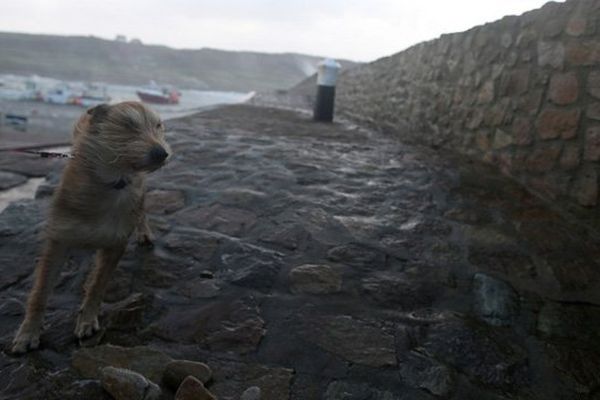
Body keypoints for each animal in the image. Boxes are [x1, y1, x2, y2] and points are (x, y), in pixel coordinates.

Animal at [12, 101, 171, 354]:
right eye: (128, 125)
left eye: (158, 126)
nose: (161, 153)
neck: (111, 181)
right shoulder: (58, 241)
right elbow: (41, 290)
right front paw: (28, 332)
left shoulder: (116, 243)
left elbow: (98, 284)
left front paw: (86, 319)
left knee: (141, 207)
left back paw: (144, 231)